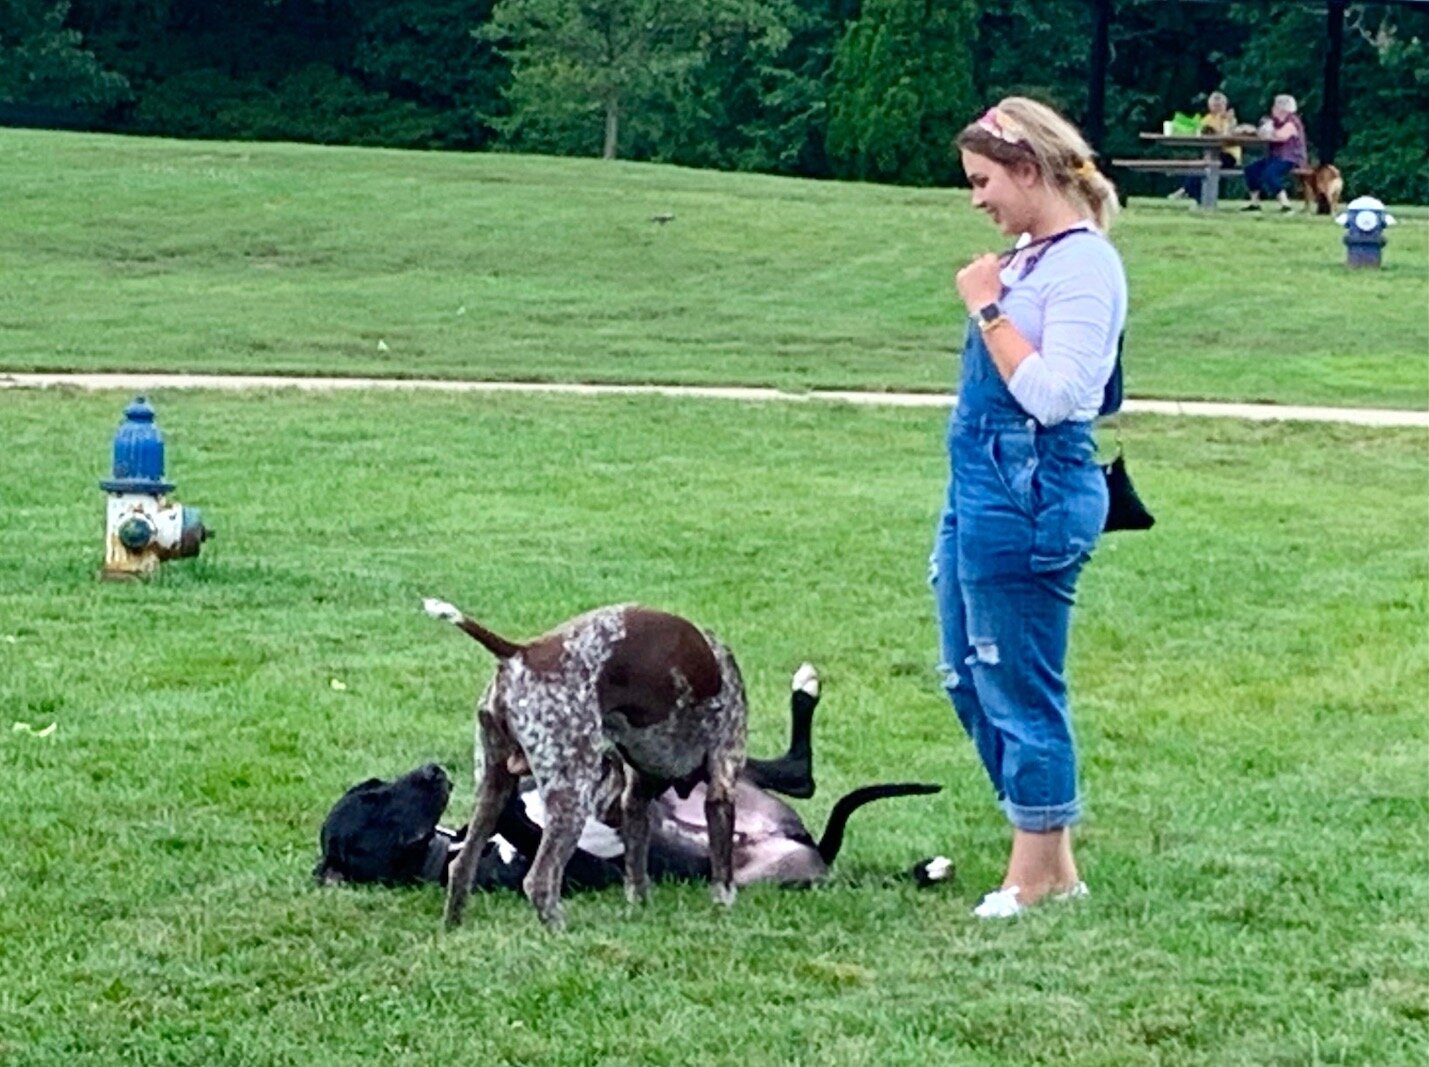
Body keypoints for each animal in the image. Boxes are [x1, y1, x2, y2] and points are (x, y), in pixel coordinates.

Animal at [318, 631, 954, 914]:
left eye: (372, 787)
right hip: (786, 875)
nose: (432, 772)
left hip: (707, 771)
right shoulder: (579, 866)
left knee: (798, 772)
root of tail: (800, 841)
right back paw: (928, 870)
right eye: (371, 807)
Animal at [425, 597, 748, 931]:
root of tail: (518, 654)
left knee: (461, 867)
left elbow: (636, 872)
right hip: (570, 797)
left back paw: (452, 929)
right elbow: (722, 870)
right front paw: (723, 908)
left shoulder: (634, 799)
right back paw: (560, 932)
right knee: (539, 882)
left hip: (493, 790)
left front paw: (640, 910)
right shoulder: (723, 780)